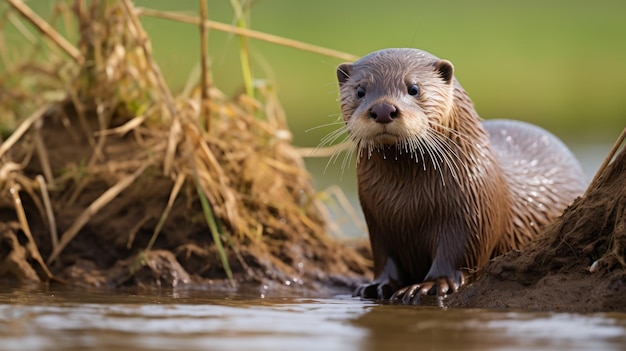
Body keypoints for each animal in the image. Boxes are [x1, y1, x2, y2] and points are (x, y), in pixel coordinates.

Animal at [336, 48, 584, 304]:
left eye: (414, 88)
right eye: (360, 91)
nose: (383, 109)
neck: (406, 201)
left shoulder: (471, 210)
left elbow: (458, 252)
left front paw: (430, 285)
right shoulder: (376, 219)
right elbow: (384, 256)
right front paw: (377, 285)